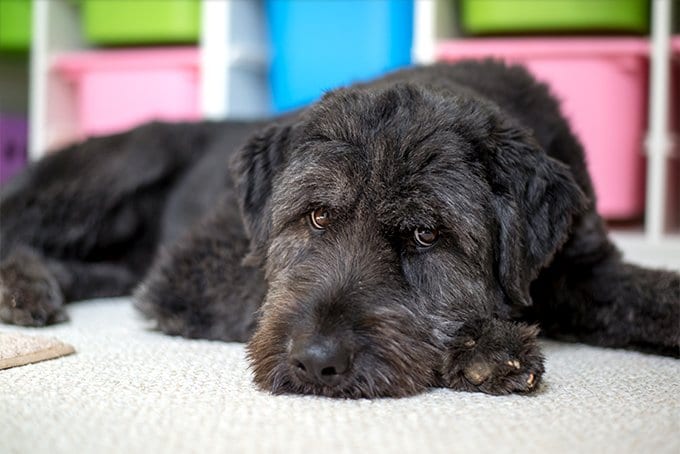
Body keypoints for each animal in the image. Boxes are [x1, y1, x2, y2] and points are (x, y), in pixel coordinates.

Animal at [1, 61, 680, 398]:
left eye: (427, 235)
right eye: (318, 215)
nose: (316, 363)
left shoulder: (584, 267)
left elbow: (651, 298)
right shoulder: (197, 267)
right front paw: (487, 346)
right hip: (114, 175)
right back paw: (19, 285)